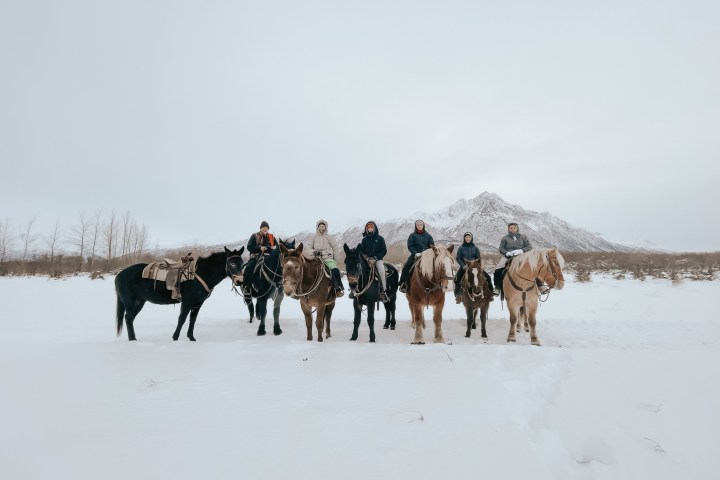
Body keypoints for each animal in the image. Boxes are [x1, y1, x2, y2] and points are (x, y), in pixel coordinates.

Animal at [115, 247, 245, 341]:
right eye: (232, 264)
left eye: (242, 264)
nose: (240, 281)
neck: (200, 273)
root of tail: (119, 275)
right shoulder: (187, 302)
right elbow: (182, 319)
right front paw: (175, 337)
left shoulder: (198, 303)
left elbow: (192, 319)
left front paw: (191, 338)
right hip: (130, 302)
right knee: (128, 318)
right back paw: (132, 340)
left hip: (139, 301)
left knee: (130, 318)